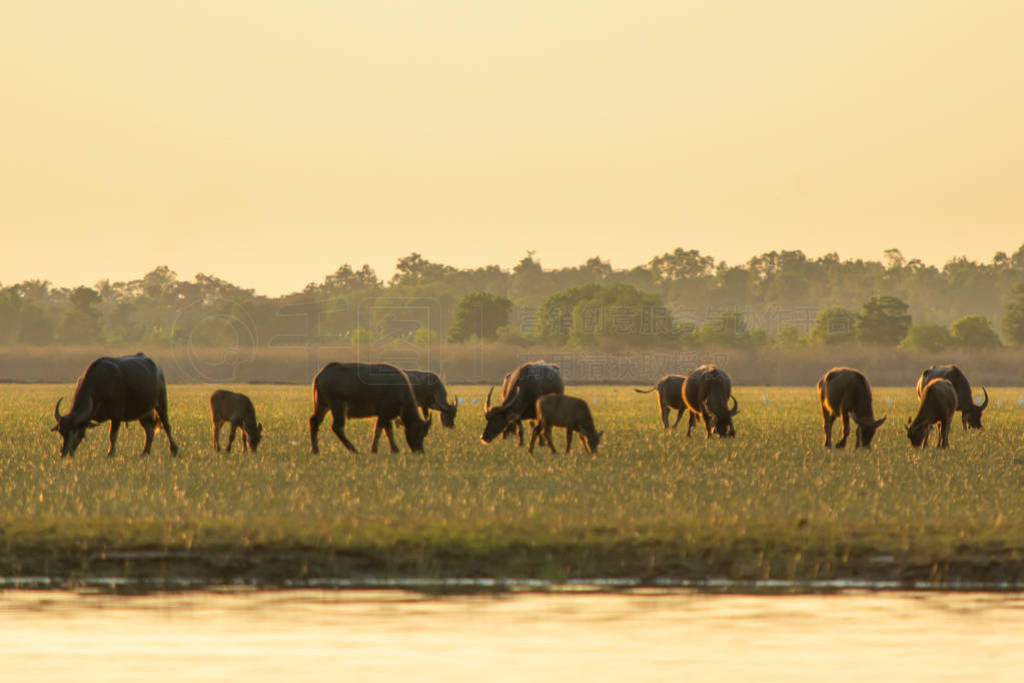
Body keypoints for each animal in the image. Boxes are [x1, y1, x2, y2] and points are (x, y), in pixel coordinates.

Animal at [50, 352, 178, 458]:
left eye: (74, 431)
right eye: (61, 431)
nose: (63, 452)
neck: (100, 385)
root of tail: (158, 369)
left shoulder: (116, 416)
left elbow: (112, 435)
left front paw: (110, 453)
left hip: (161, 403)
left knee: (166, 425)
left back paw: (174, 450)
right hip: (144, 412)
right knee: (149, 430)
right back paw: (145, 453)